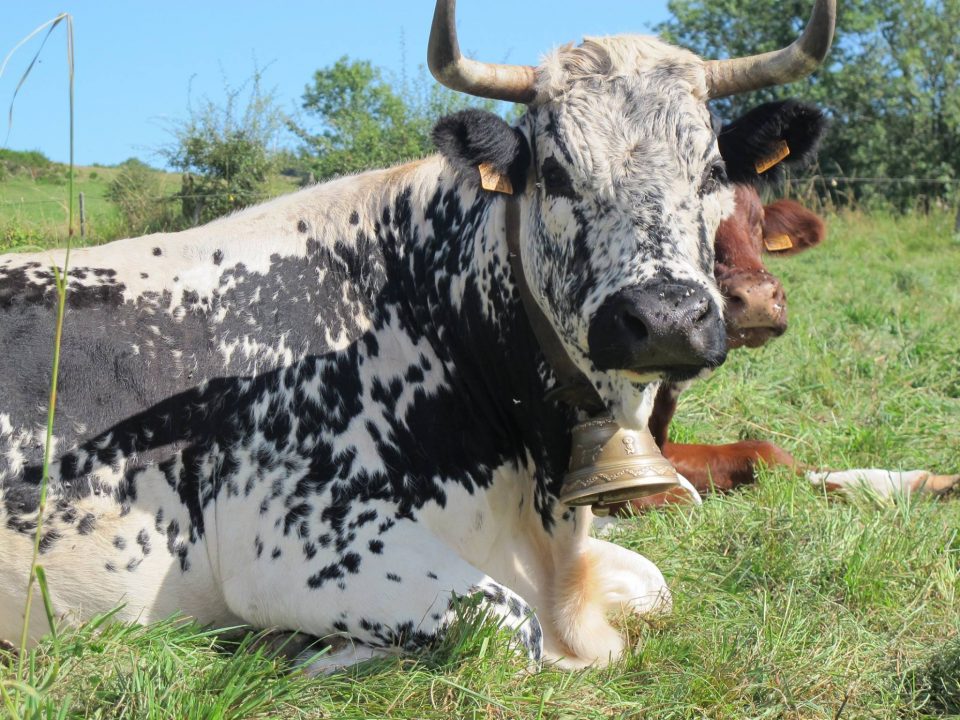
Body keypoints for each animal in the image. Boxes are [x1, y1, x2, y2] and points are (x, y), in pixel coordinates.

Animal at [0, 0, 832, 668]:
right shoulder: (298, 544)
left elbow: (654, 585)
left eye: (711, 171)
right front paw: (293, 651)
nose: (664, 318)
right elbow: (509, 625)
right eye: (556, 173)